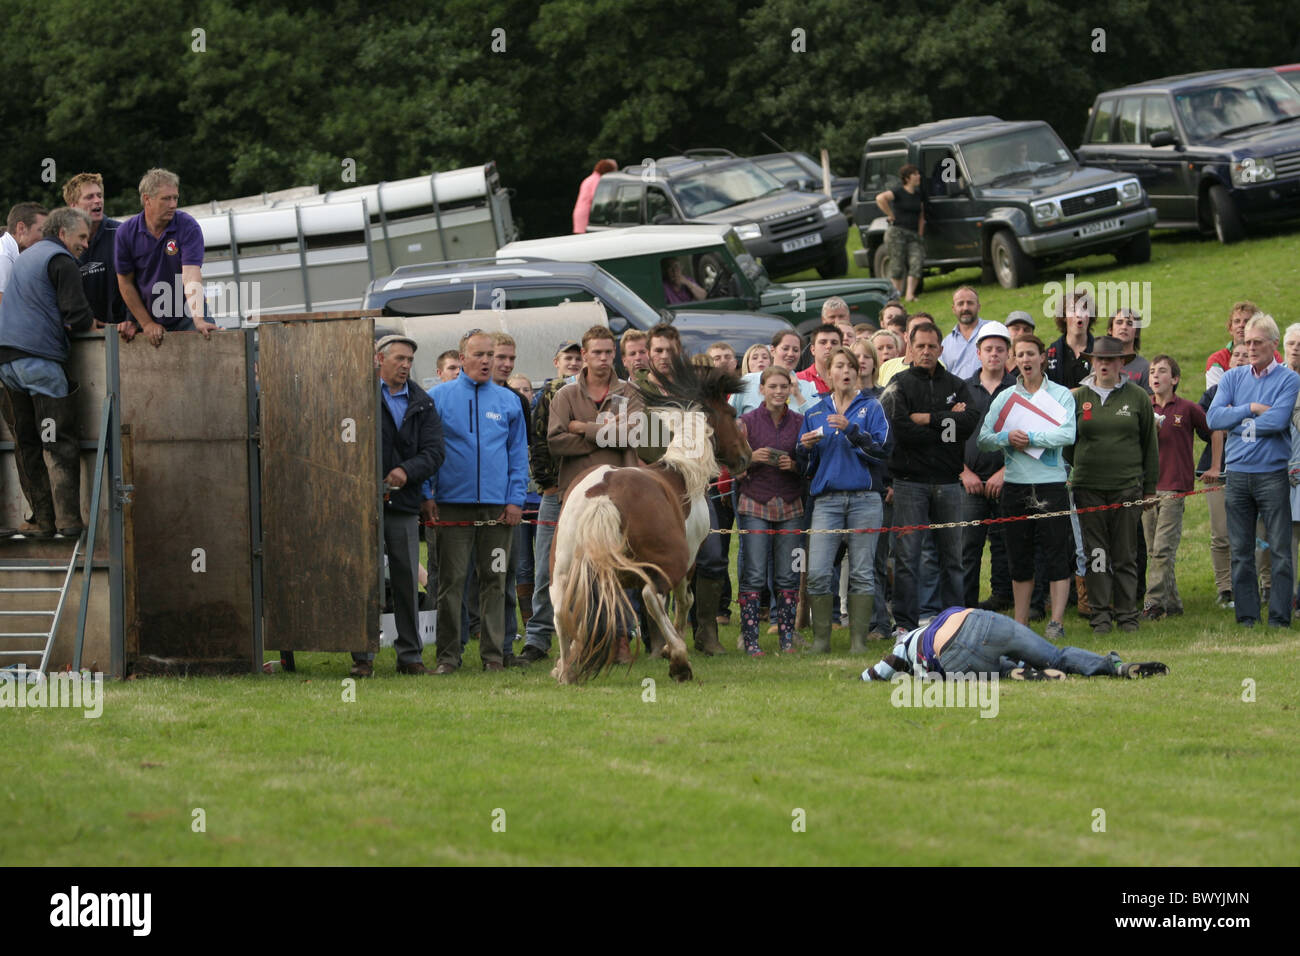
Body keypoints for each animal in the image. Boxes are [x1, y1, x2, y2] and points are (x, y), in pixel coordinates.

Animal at [551, 356, 754, 686]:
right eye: (733, 414)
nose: (746, 457)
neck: (681, 473)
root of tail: (604, 494)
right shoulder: (689, 560)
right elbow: (684, 599)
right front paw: (674, 648)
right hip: (667, 561)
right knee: (651, 597)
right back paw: (680, 662)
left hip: (564, 569)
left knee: (561, 609)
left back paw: (566, 669)